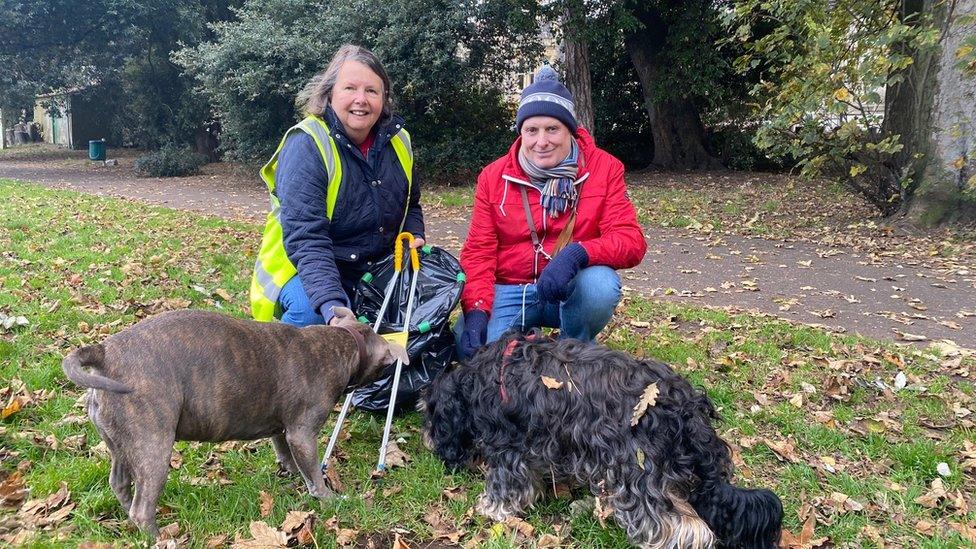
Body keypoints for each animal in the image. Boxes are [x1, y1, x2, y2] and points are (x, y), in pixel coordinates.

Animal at [424, 332, 780, 544]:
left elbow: (506, 484)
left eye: (430, 418)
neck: (480, 380)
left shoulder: (510, 446)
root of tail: (687, 406)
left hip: (636, 470)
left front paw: (490, 507)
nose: (428, 443)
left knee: (683, 527)